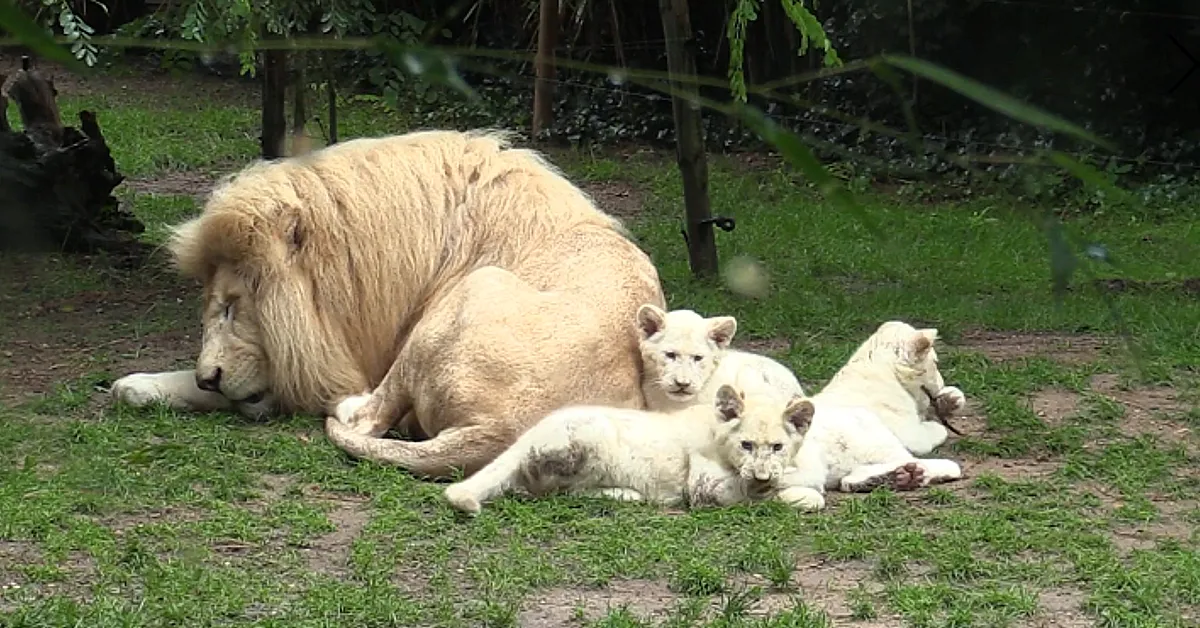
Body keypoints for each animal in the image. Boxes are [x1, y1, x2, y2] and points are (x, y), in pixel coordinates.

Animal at [108, 130, 667, 480]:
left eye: (229, 307)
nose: (209, 377)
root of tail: (498, 431)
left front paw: (150, 385)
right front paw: (143, 385)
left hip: (468, 294)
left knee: (367, 417)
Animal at [441, 374, 816, 516]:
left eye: (778, 447)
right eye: (746, 445)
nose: (762, 474)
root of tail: (527, 435)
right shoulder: (704, 487)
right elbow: (760, 494)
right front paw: (794, 494)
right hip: (592, 438)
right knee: (553, 490)